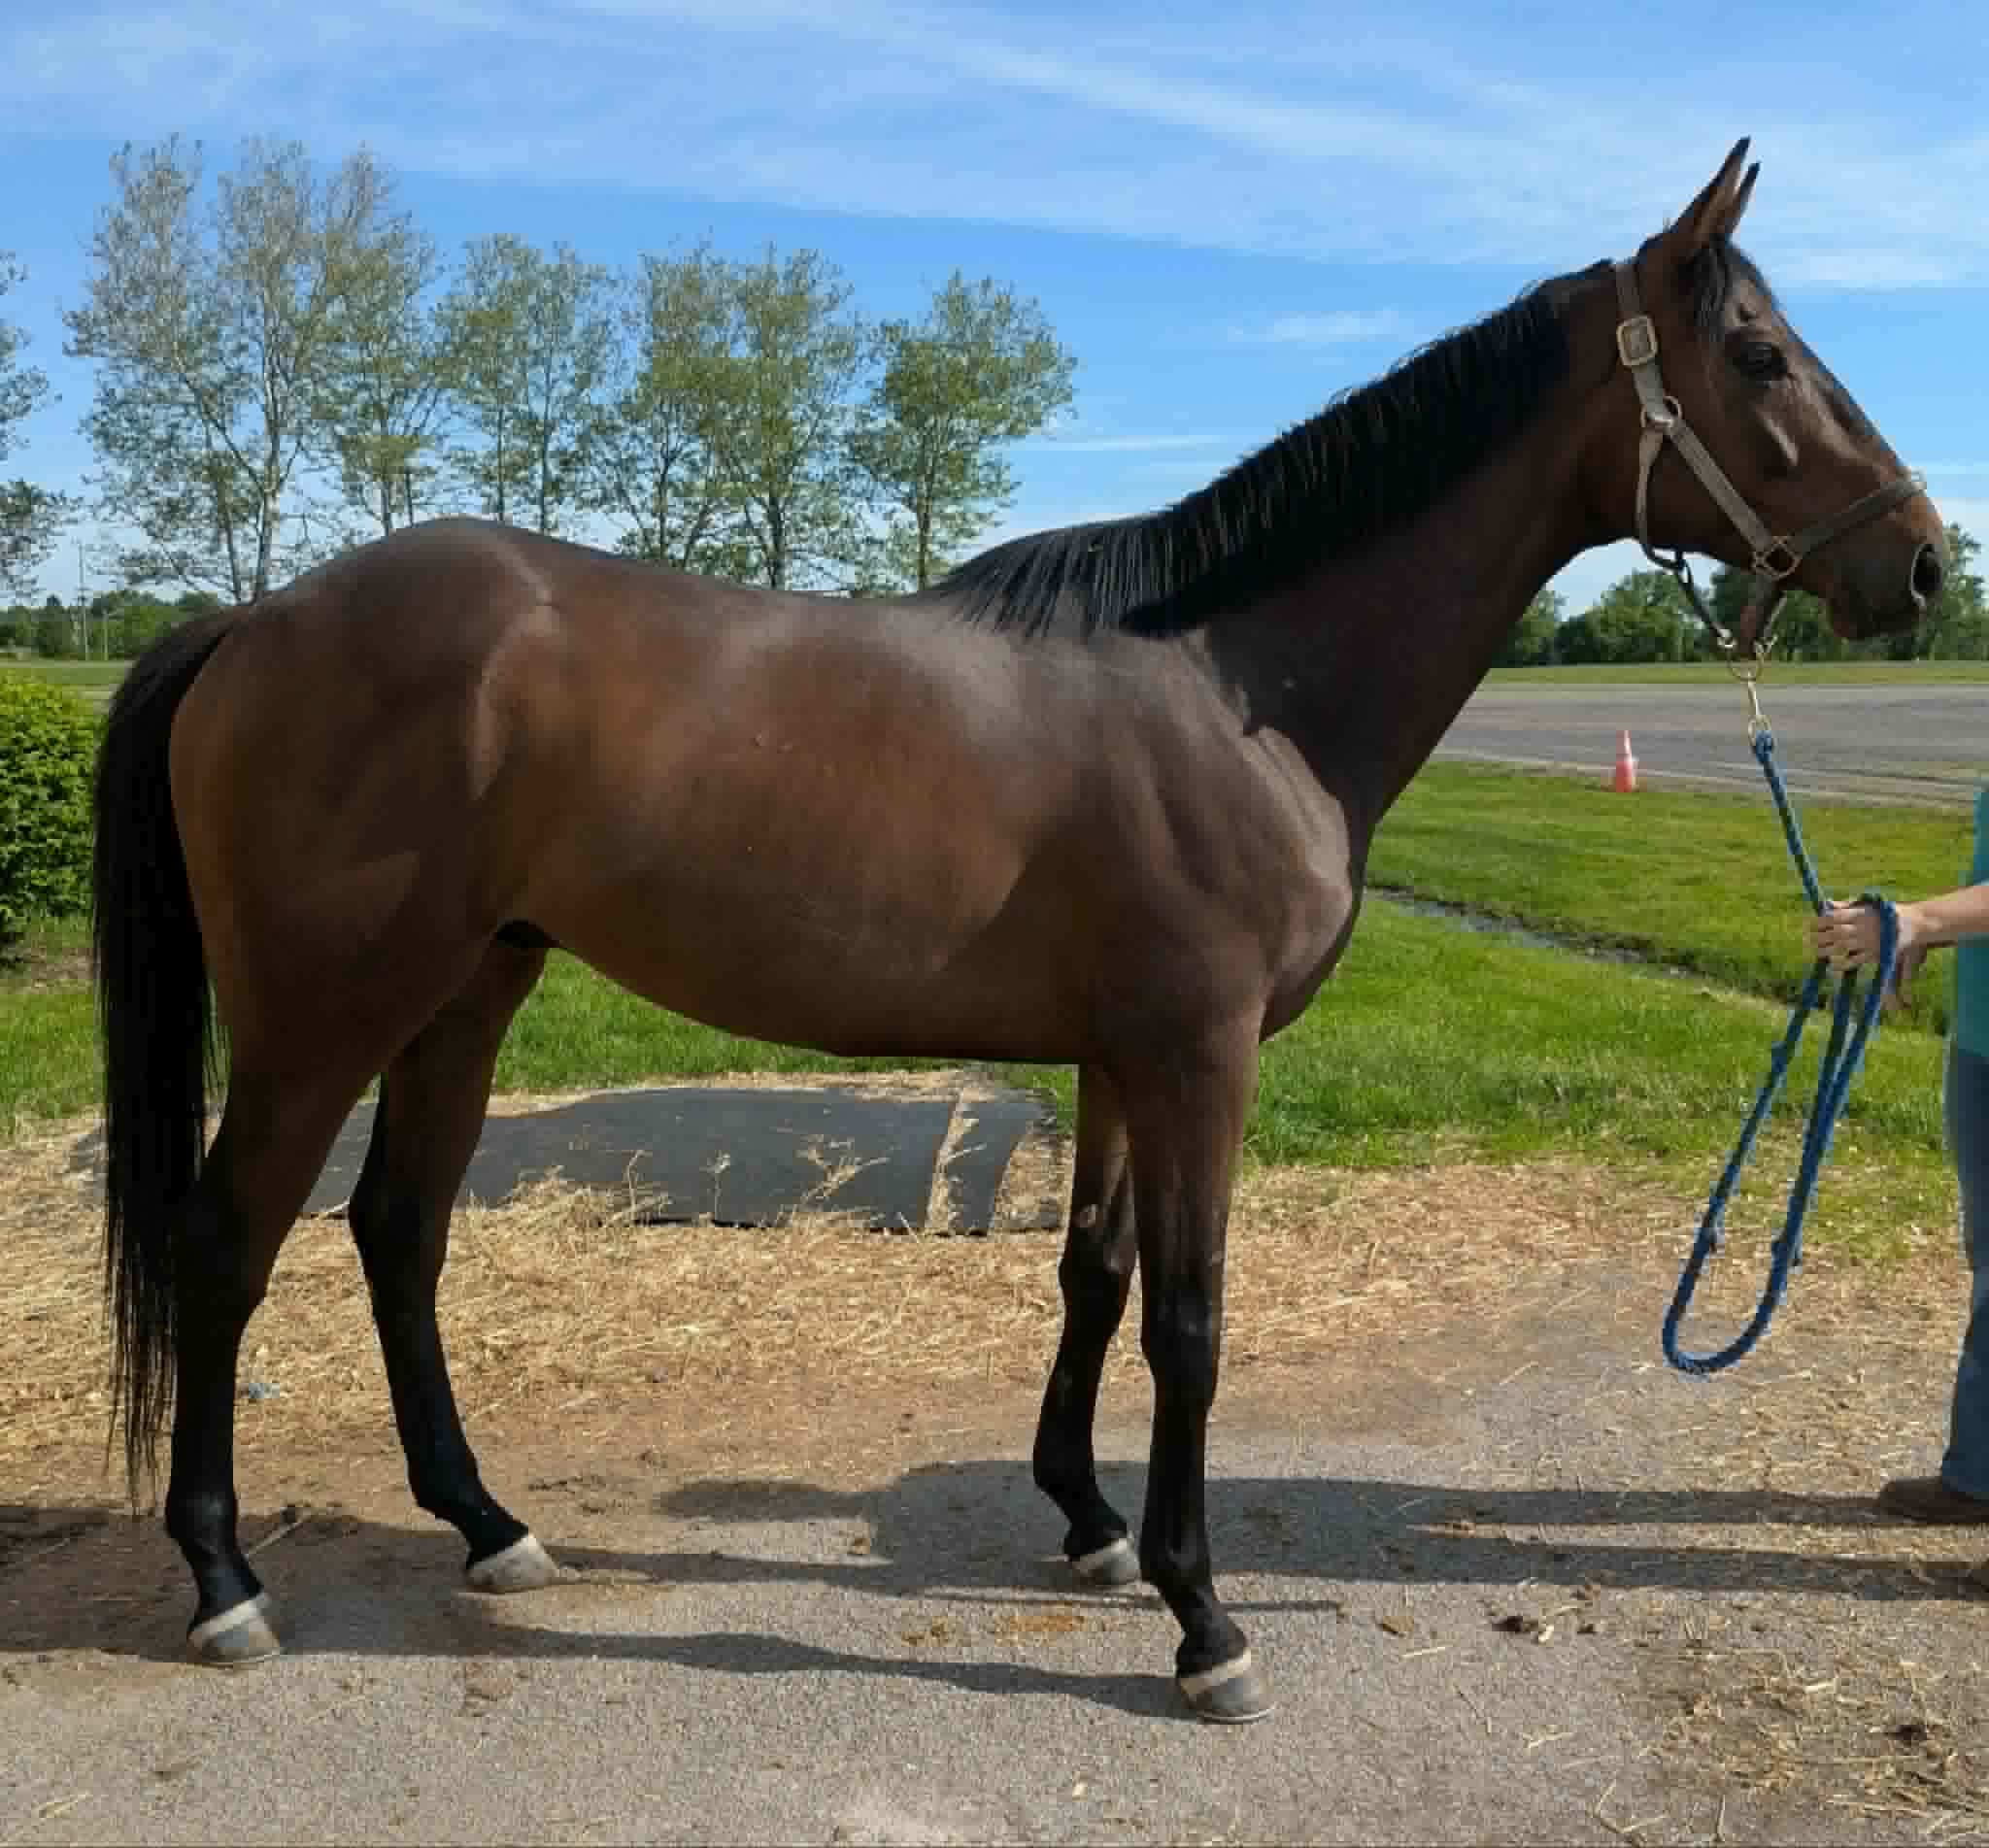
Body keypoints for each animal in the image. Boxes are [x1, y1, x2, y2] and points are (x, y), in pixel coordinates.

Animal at [92, 140, 1944, 1723]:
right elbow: (1191, 1313)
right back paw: (226, 1579)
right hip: (321, 1019)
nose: (1922, 563)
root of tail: (255, 619)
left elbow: (1094, 1275)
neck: (1235, 685)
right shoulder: (1198, 1058)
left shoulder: (1120, 1055)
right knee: (226, 1244)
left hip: (467, 990)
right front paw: (1204, 1616)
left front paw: (1093, 1521)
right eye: (1762, 355)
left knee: (397, 1233)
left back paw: (487, 1523)